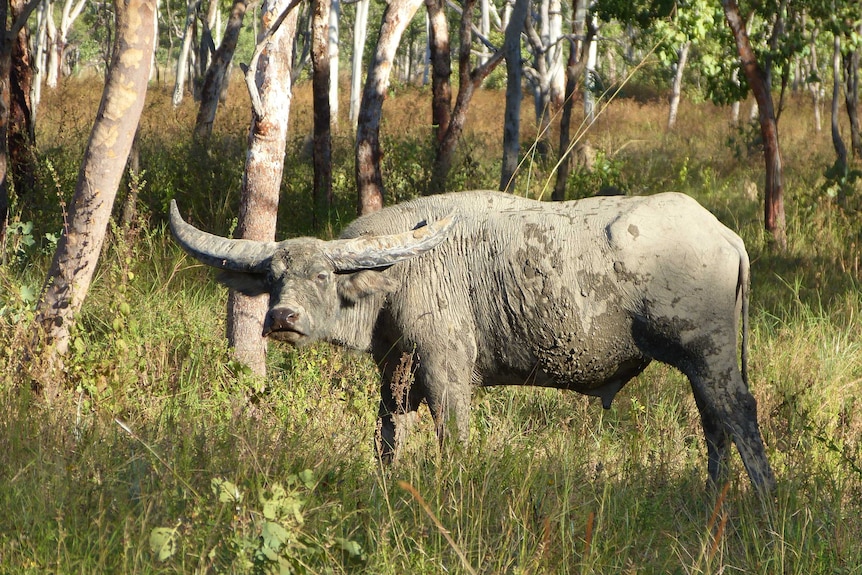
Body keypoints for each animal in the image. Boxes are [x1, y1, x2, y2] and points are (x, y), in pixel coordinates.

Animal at [172, 190, 780, 490]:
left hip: (711, 356)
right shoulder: (395, 376)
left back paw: (765, 502)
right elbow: (386, 439)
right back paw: (711, 500)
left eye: (322, 275)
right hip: (699, 367)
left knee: (739, 416)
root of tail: (724, 234)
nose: (281, 317)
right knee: (714, 425)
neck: (397, 276)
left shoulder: (446, 372)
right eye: (274, 277)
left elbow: (454, 438)